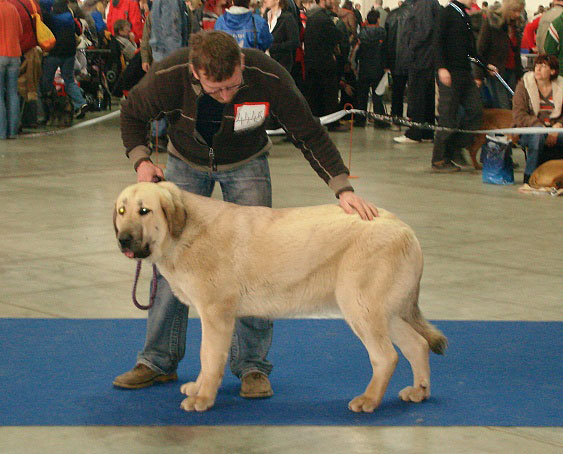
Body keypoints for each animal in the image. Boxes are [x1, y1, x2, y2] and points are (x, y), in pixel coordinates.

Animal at [113, 182, 450, 414]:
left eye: (145, 211)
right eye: (122, 211)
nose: (123, 240)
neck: (184, 232)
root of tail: (404, 227)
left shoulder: (216, 314)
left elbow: (209, 358)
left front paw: (204, 398)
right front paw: (198, 389)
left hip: (361, 308)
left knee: (386, 356)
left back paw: (369, 400)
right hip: (382, 312)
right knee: (417, 345)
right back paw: (419, 391)